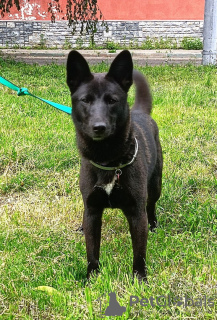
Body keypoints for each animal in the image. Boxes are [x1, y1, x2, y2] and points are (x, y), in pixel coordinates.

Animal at [67, 48, 162, 282]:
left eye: (112, 100)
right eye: (85, 100)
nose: (99, 127)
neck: (107, 160)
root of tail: (141, 112)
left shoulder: (137, 214)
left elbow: (139, 253)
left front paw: (140, 280)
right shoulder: (92, 211)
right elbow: (92, 252)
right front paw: (92, 280)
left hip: (155, 186)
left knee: (152, 205)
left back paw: (154, 225)